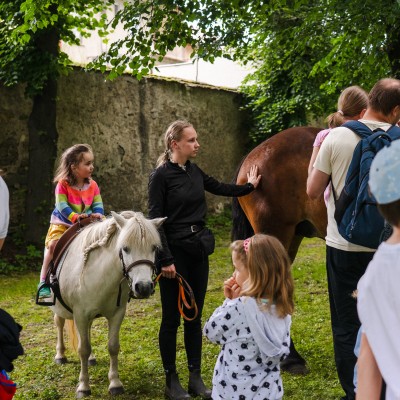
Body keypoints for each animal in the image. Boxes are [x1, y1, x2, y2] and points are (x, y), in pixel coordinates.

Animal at [50, 211, 165, 398]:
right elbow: (83, 349)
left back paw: (91, 359)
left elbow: (113, 347)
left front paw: (115, 383)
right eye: (125, 248)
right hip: (60, 309)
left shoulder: (116, 314)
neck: (100, 275)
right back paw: (60, 355)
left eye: (154, 248)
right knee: (59, 323)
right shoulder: (80, 314)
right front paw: (83, 386)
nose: (144, 287)